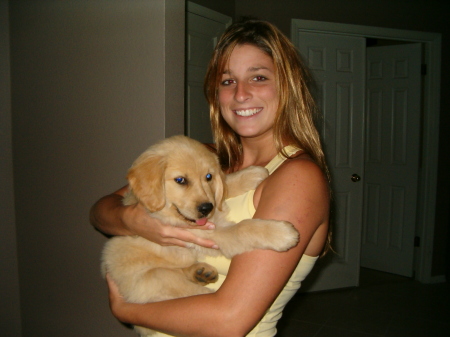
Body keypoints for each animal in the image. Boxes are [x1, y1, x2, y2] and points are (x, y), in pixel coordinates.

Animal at [101, 135, 298, 334]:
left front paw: (253, 173)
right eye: (180, 180)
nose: (206, 208)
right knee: (189, 293)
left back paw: (200, 272)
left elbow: (225, 185)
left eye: (208, 177)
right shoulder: (199, 234)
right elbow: (241, 229)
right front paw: (281, 233)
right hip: (155, 279)